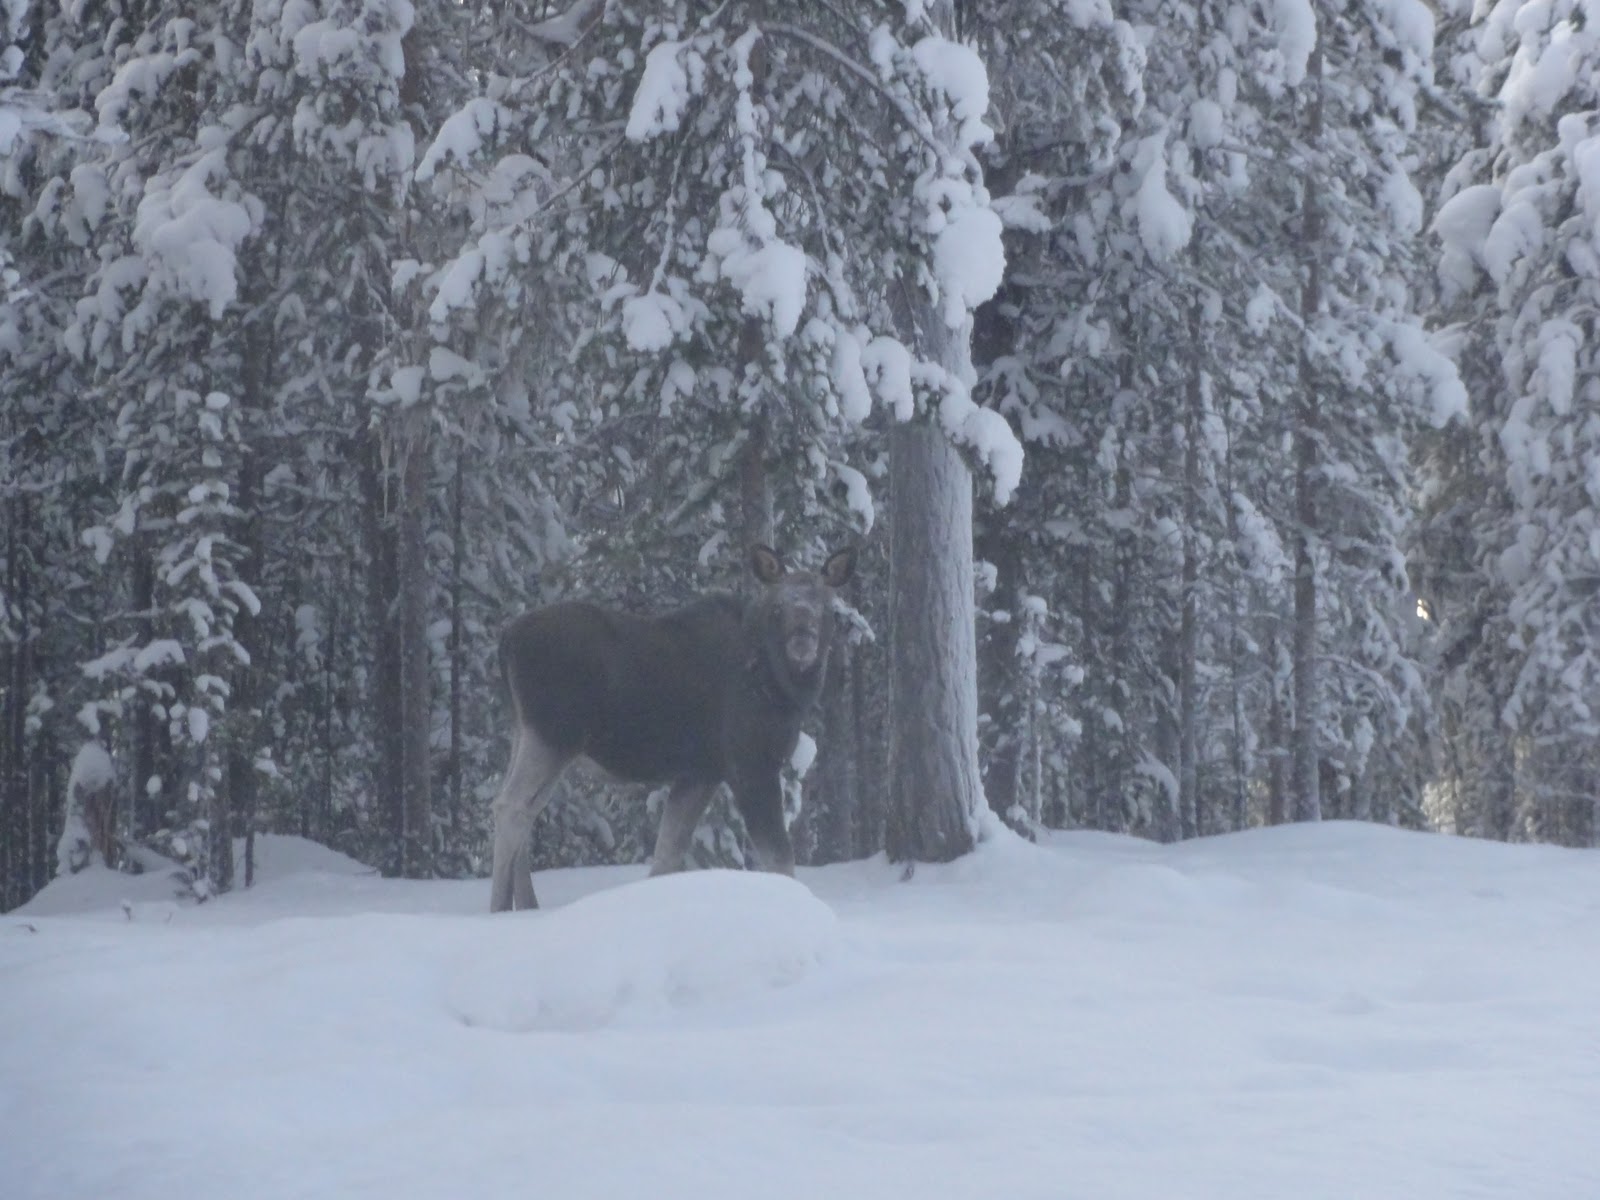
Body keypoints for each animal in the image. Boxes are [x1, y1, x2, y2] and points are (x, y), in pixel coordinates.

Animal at [489, 544, 857, 912]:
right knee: (511, 806)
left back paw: (526, 906)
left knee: (526, 808)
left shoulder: (701, 772)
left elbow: (667, 852)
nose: (803, 643)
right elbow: (779, 858)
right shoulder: (750, 764)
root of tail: (506, 640)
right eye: (779, 606)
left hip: (527, 732)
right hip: (553, 733)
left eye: (827, 606)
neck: (781, 688)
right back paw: (499, 909)